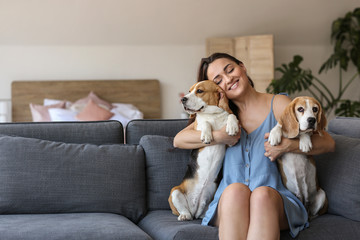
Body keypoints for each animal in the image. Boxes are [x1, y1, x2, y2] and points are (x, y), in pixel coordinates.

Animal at [169, 79, 239, 220]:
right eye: (189, 91)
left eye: (200, 91)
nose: (182, 99)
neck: (213, 115)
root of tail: (195, 212)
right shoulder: (197, 127)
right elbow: (205, 123)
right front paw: (207, 134)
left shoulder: (229, 143)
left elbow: (232, 116)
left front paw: (232, 126)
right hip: (175, 191)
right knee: (183, 209)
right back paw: (185, 215)